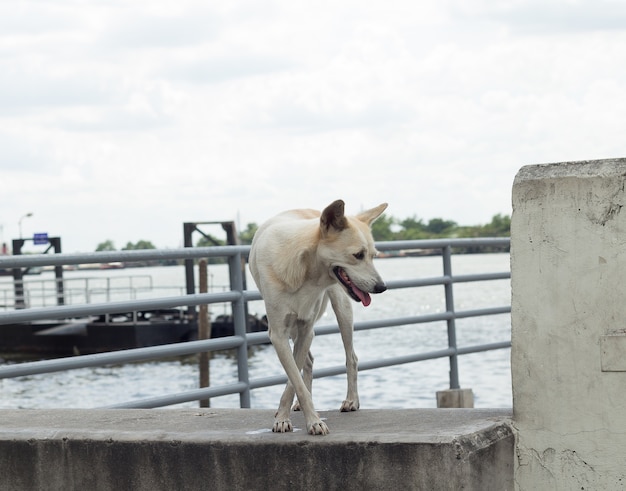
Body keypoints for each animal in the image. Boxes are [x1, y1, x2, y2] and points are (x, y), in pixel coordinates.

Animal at [247, 198, 386, 436]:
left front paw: (303, 418)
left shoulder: (306, 330)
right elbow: (295, 377)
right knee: (309, 362)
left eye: (373, 255)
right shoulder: (279, 334)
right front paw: (292, 418)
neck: (305, 271)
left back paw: (351, 400)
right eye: (358, 255)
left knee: (351, 357)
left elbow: (293, 379)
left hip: (342, 309)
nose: (382, 287)